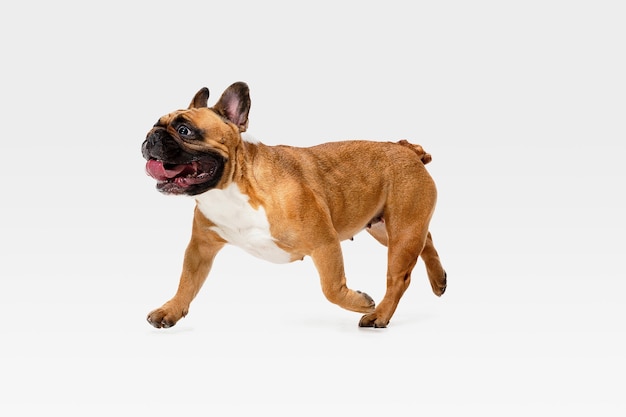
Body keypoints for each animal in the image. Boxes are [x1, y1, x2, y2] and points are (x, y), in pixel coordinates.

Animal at [141, 82, 444, 328]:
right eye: (155, 124)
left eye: (185, 130)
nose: (150, 136)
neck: (232, 188)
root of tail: (406, 148)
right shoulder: (201, 247)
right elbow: (187, 280)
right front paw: (171, 309)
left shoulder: (324, 242)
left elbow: (331, 288)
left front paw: (360, 302)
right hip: (385, 227)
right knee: (426, 240)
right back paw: (439, 279)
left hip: (403, 229)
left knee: (399, 277)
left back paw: (379, 314)